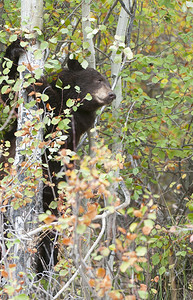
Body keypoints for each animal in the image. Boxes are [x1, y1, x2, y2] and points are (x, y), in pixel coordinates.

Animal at [0, 38, 115, 276]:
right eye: (99, 79)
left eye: (106, 81)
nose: (111, 94)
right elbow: (9, 92)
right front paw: (16, 47)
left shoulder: (76, 122)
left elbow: (56, 124)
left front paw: (35, 86)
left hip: (53, 195)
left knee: (49, 236)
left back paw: (44, 266)